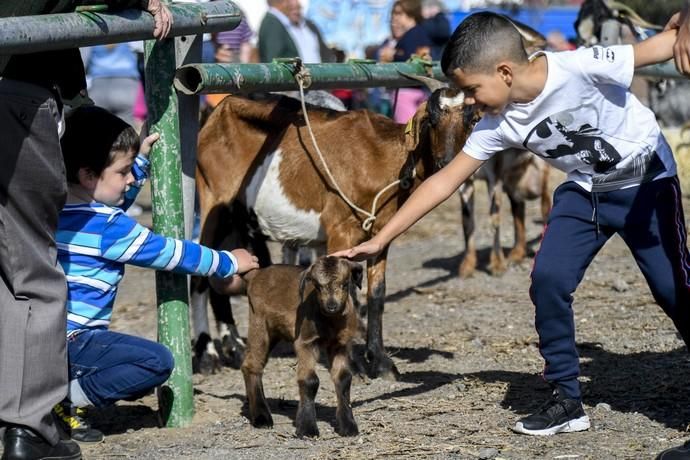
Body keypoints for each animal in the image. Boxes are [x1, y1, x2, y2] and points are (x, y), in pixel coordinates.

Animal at [194, 89, 472, 378]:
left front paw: (380, 361)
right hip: (212, 203)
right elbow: (348, 292)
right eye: (431, 120)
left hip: (237, 221)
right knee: (200, 277)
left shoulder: (380, 235)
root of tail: (217, 112)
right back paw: (207, 355)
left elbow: (377, 294)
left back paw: (234, 347)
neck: (381, 158)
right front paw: (354, 362)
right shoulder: (340, 229)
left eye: (472, 119)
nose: (447, 163)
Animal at [241, 256, 362, 436]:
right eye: (317, 286)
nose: (331, 306)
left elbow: (344, 378)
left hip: (274, 331)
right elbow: (310, 380)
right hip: (258, 321)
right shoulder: (305, 341)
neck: (329, 323)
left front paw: (348, 426)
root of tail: (256, 274)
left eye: (345, 284)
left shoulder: (341, 343)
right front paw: (307, 428)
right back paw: (262, 418)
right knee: (251, 364)